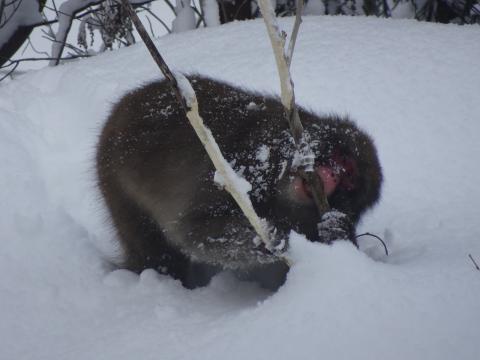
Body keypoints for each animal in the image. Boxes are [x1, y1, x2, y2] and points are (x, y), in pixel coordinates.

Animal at [97, 75, 382, 290]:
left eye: (348, 181)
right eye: (341, 161)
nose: (333, 176)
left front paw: (336, 230)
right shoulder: (240, 164)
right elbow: (196, 230)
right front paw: (270, 236)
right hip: (114, 178)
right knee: (157, 255)